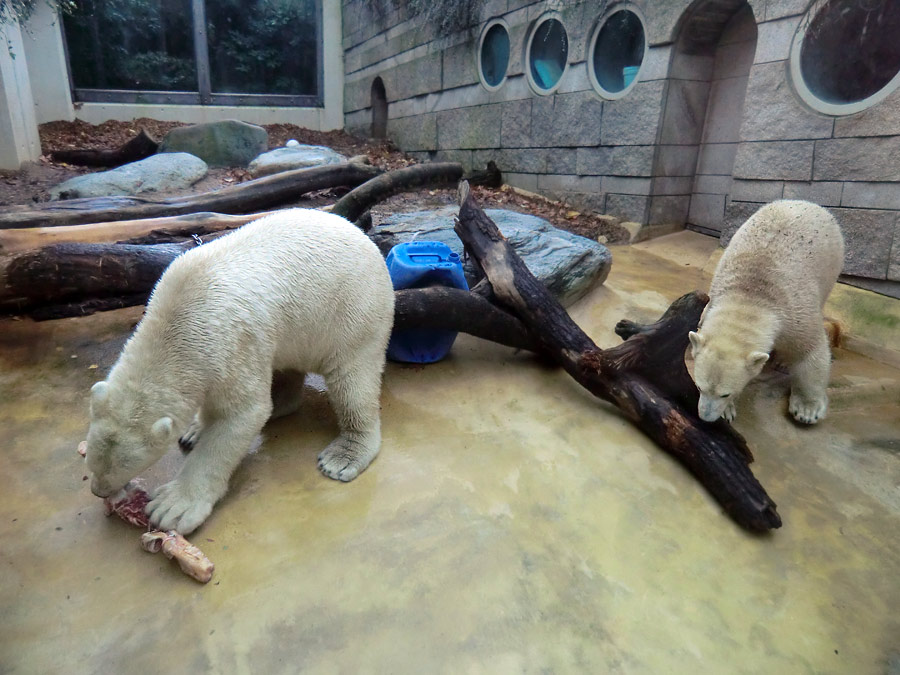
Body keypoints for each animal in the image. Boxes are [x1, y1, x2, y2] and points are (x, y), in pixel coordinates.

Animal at [84, 209, 394, 536]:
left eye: (127, 465)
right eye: (92, 461)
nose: (99, 491)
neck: (177, 318)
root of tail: (365, 238)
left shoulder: (228, 343)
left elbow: (241, 414)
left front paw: (173, 506)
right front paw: (195, 430)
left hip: (352, 312)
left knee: (352, 381)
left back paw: (343, 455)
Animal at [688, 198, 844, 426]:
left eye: (726, 393)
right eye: (699, 387)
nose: (706, 418)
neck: (750, 296)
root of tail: (802, 201)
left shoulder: (795, 314)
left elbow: (810, 351)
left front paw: (807, 409)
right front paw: (728, 412)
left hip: (831, 264)